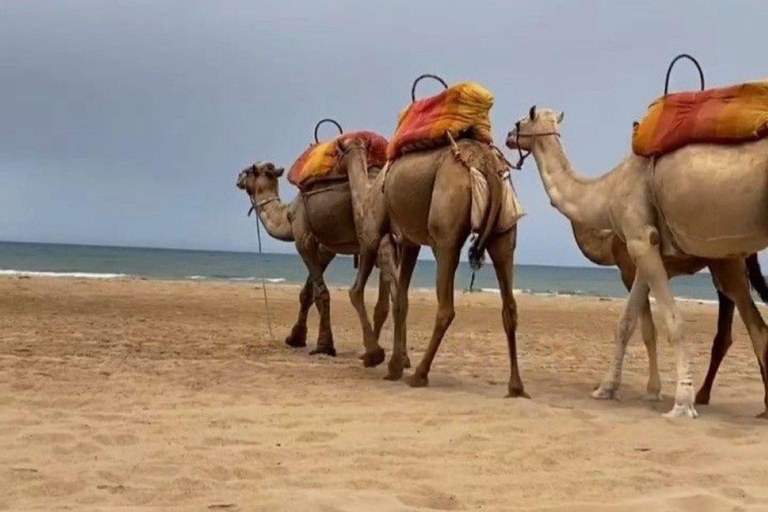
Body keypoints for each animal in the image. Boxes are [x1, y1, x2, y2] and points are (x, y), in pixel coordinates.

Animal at [234, 160, 402, 364]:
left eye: (248, 171)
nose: (238, 179)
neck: (287, 215)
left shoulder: (303, 239)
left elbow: (320, 292)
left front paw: (322, 345)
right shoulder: (326, 246)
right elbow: (308, 292)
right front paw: (297, 337)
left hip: (375, 227)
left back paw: (375, 353)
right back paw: (397, 357)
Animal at [330, 137, 528, 400]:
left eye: (338, 154)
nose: (332, 170)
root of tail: (485, 164)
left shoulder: (372, 231)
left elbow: (356, 291)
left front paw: (374, 355)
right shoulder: (409, 241)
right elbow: (401, 300)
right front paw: (394, 366)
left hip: (445, 233)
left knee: (446, 308)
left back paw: (420, 375)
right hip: (504, 229)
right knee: (510, 306)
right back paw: (516, 387)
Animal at [568, 223, 768, 404]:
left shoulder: (629, 273)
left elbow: (646, 331)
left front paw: (651, 391)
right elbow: (650, 330)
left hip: (728, 266)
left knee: (754, 327)